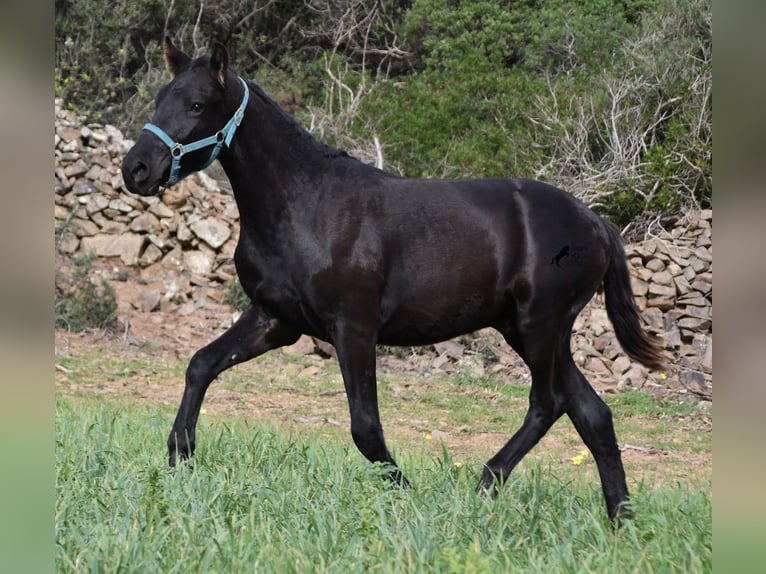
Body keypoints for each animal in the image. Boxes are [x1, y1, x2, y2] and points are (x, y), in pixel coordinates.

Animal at [123, 39, 664, 528]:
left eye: (197, 104)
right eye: (160, 98)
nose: (137, 169)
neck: (306, 204)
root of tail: (596, 225)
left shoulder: (353, 328)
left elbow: (365, 427)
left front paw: (406, 492)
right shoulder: (275, 320)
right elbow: (201, 365)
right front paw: (180, 456)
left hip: (541, 326)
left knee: (549, 403)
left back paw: (486, 482)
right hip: (528, 330)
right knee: (591, 413)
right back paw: (620, 520)